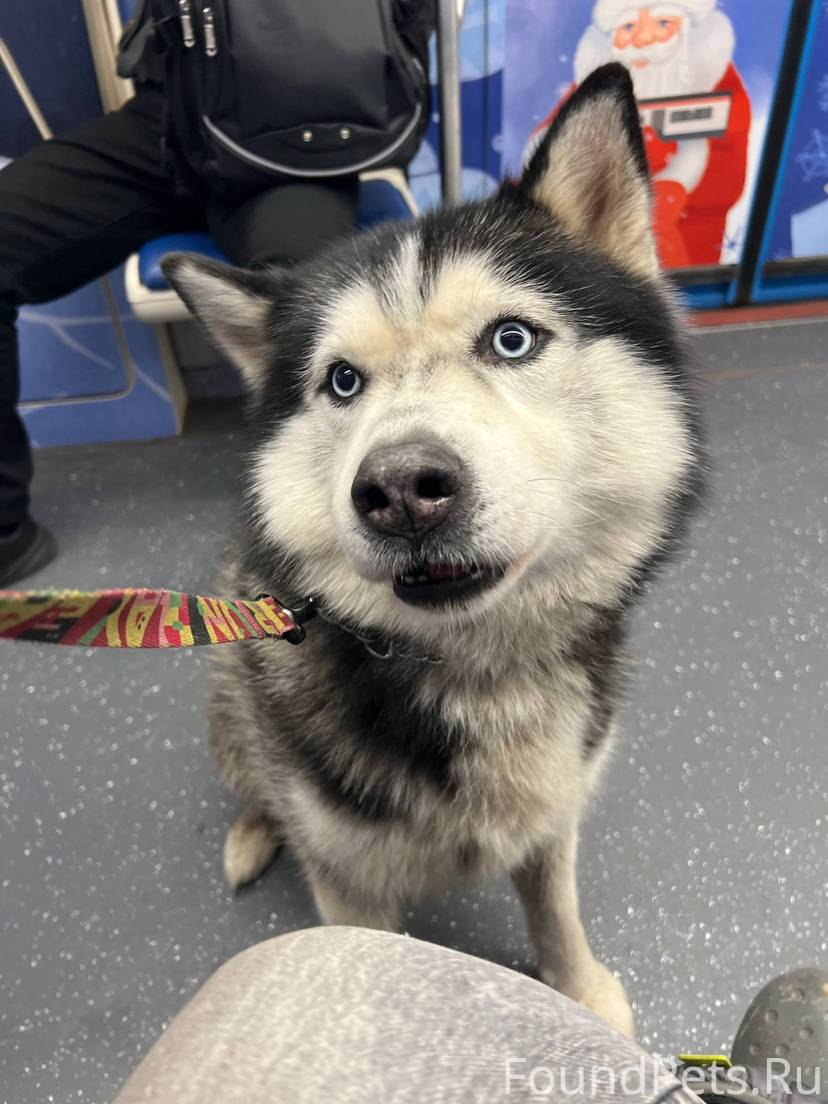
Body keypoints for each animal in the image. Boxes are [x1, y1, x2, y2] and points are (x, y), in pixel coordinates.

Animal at [162, 63, 703, 1038]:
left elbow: (557, 908)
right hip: (231, 710)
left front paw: (578, 992)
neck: (479, 670)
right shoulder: (348, 887)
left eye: (511, 339)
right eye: (342, 381)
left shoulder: (555, 816)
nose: (400, 490)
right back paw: (256, 830)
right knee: (256, 778)